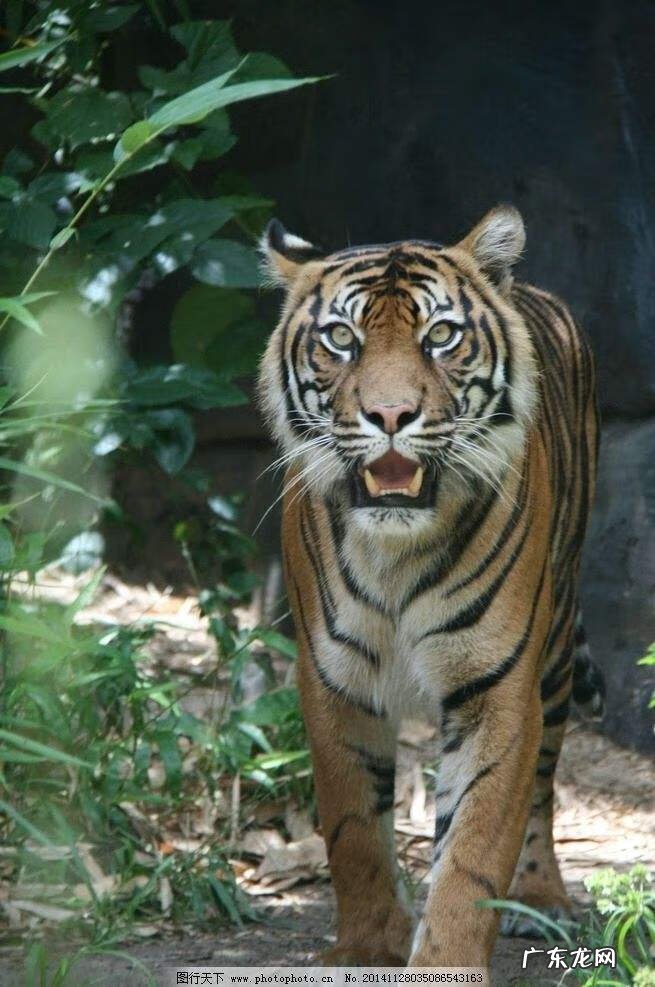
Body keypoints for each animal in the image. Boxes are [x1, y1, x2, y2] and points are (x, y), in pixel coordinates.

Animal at [257, 206, 604, 977]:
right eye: (341, 339)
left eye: (439, 336)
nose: (390, 415)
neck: (395, 551)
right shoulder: (333, 679)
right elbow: (353, 826)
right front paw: (363, 947)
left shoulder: (496, 687)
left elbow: (472, 849)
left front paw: (445, 958)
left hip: (557, 640)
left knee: (543, 783)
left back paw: (542, 896)